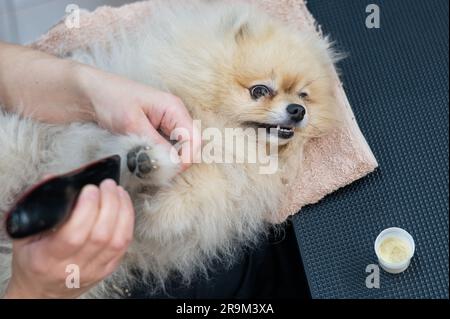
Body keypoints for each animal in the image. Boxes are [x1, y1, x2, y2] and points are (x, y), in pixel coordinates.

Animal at [0, 1, 338, 298]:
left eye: (303, 96)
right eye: (260, 90)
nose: (297, 111)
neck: (225, 133)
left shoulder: (221, 185)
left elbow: (187, 202)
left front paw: (151, 196)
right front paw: (143, 157)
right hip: (19, 143)